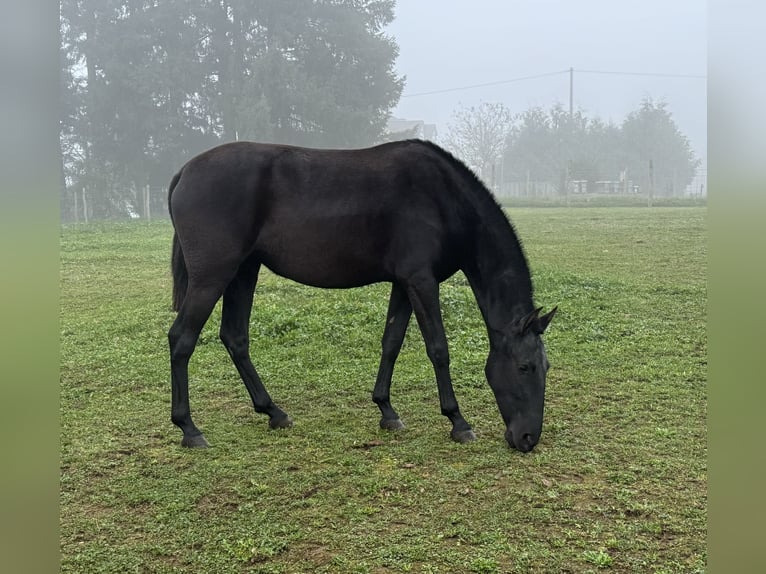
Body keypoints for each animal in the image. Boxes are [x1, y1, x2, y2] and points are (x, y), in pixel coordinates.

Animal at [166, 141, 560, 454]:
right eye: (525, 367)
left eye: (546, 367)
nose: (528, 438)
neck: (444, 198)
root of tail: (184, 171)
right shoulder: (421, 282)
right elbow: (438, 349)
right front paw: (457, 421)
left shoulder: (404, 284)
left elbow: (391, 342)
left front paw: (386, 410)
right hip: (212, 278)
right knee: (181, 339)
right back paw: (189, 428)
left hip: (244, 272)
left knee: (235, 338)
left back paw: (273, 412)